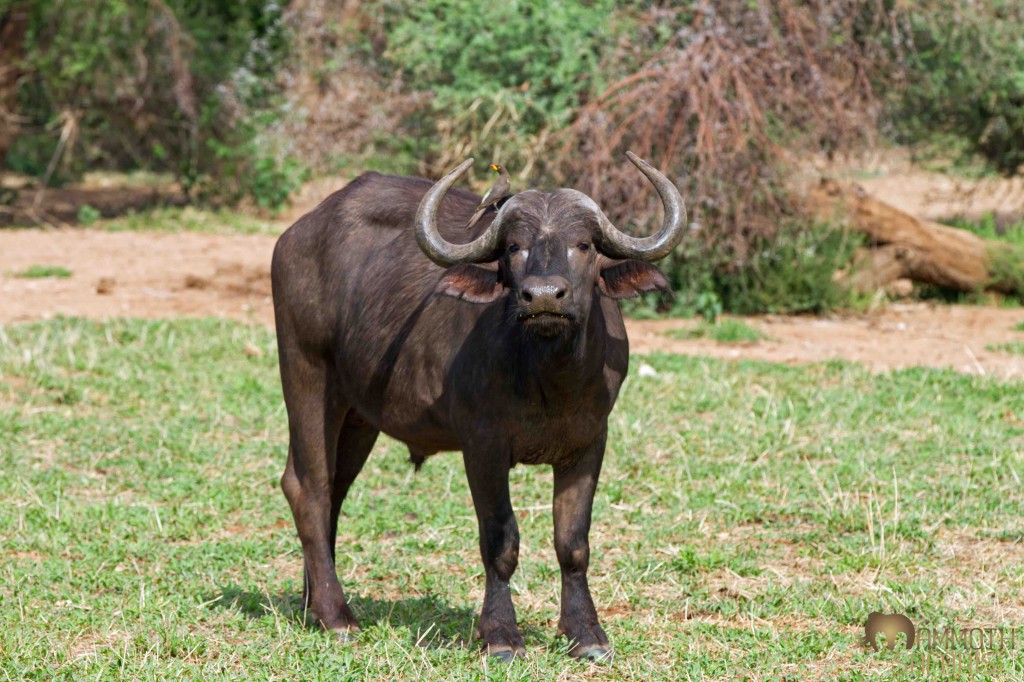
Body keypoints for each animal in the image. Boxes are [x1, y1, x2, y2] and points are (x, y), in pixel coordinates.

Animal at [271, 152, 686, 661]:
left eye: (584, 245)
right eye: (514, 247)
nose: (543, 296)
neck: (547, 376)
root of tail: (296, 235)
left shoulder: (590, 442)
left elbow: (572, 542)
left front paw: (586, 633)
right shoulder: (483, 446)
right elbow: (500, 541)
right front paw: (502, 635)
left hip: (358, 415)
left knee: (333, 489)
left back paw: (312, 602)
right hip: (307, 374)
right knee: (307, 488)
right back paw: (336, 616)